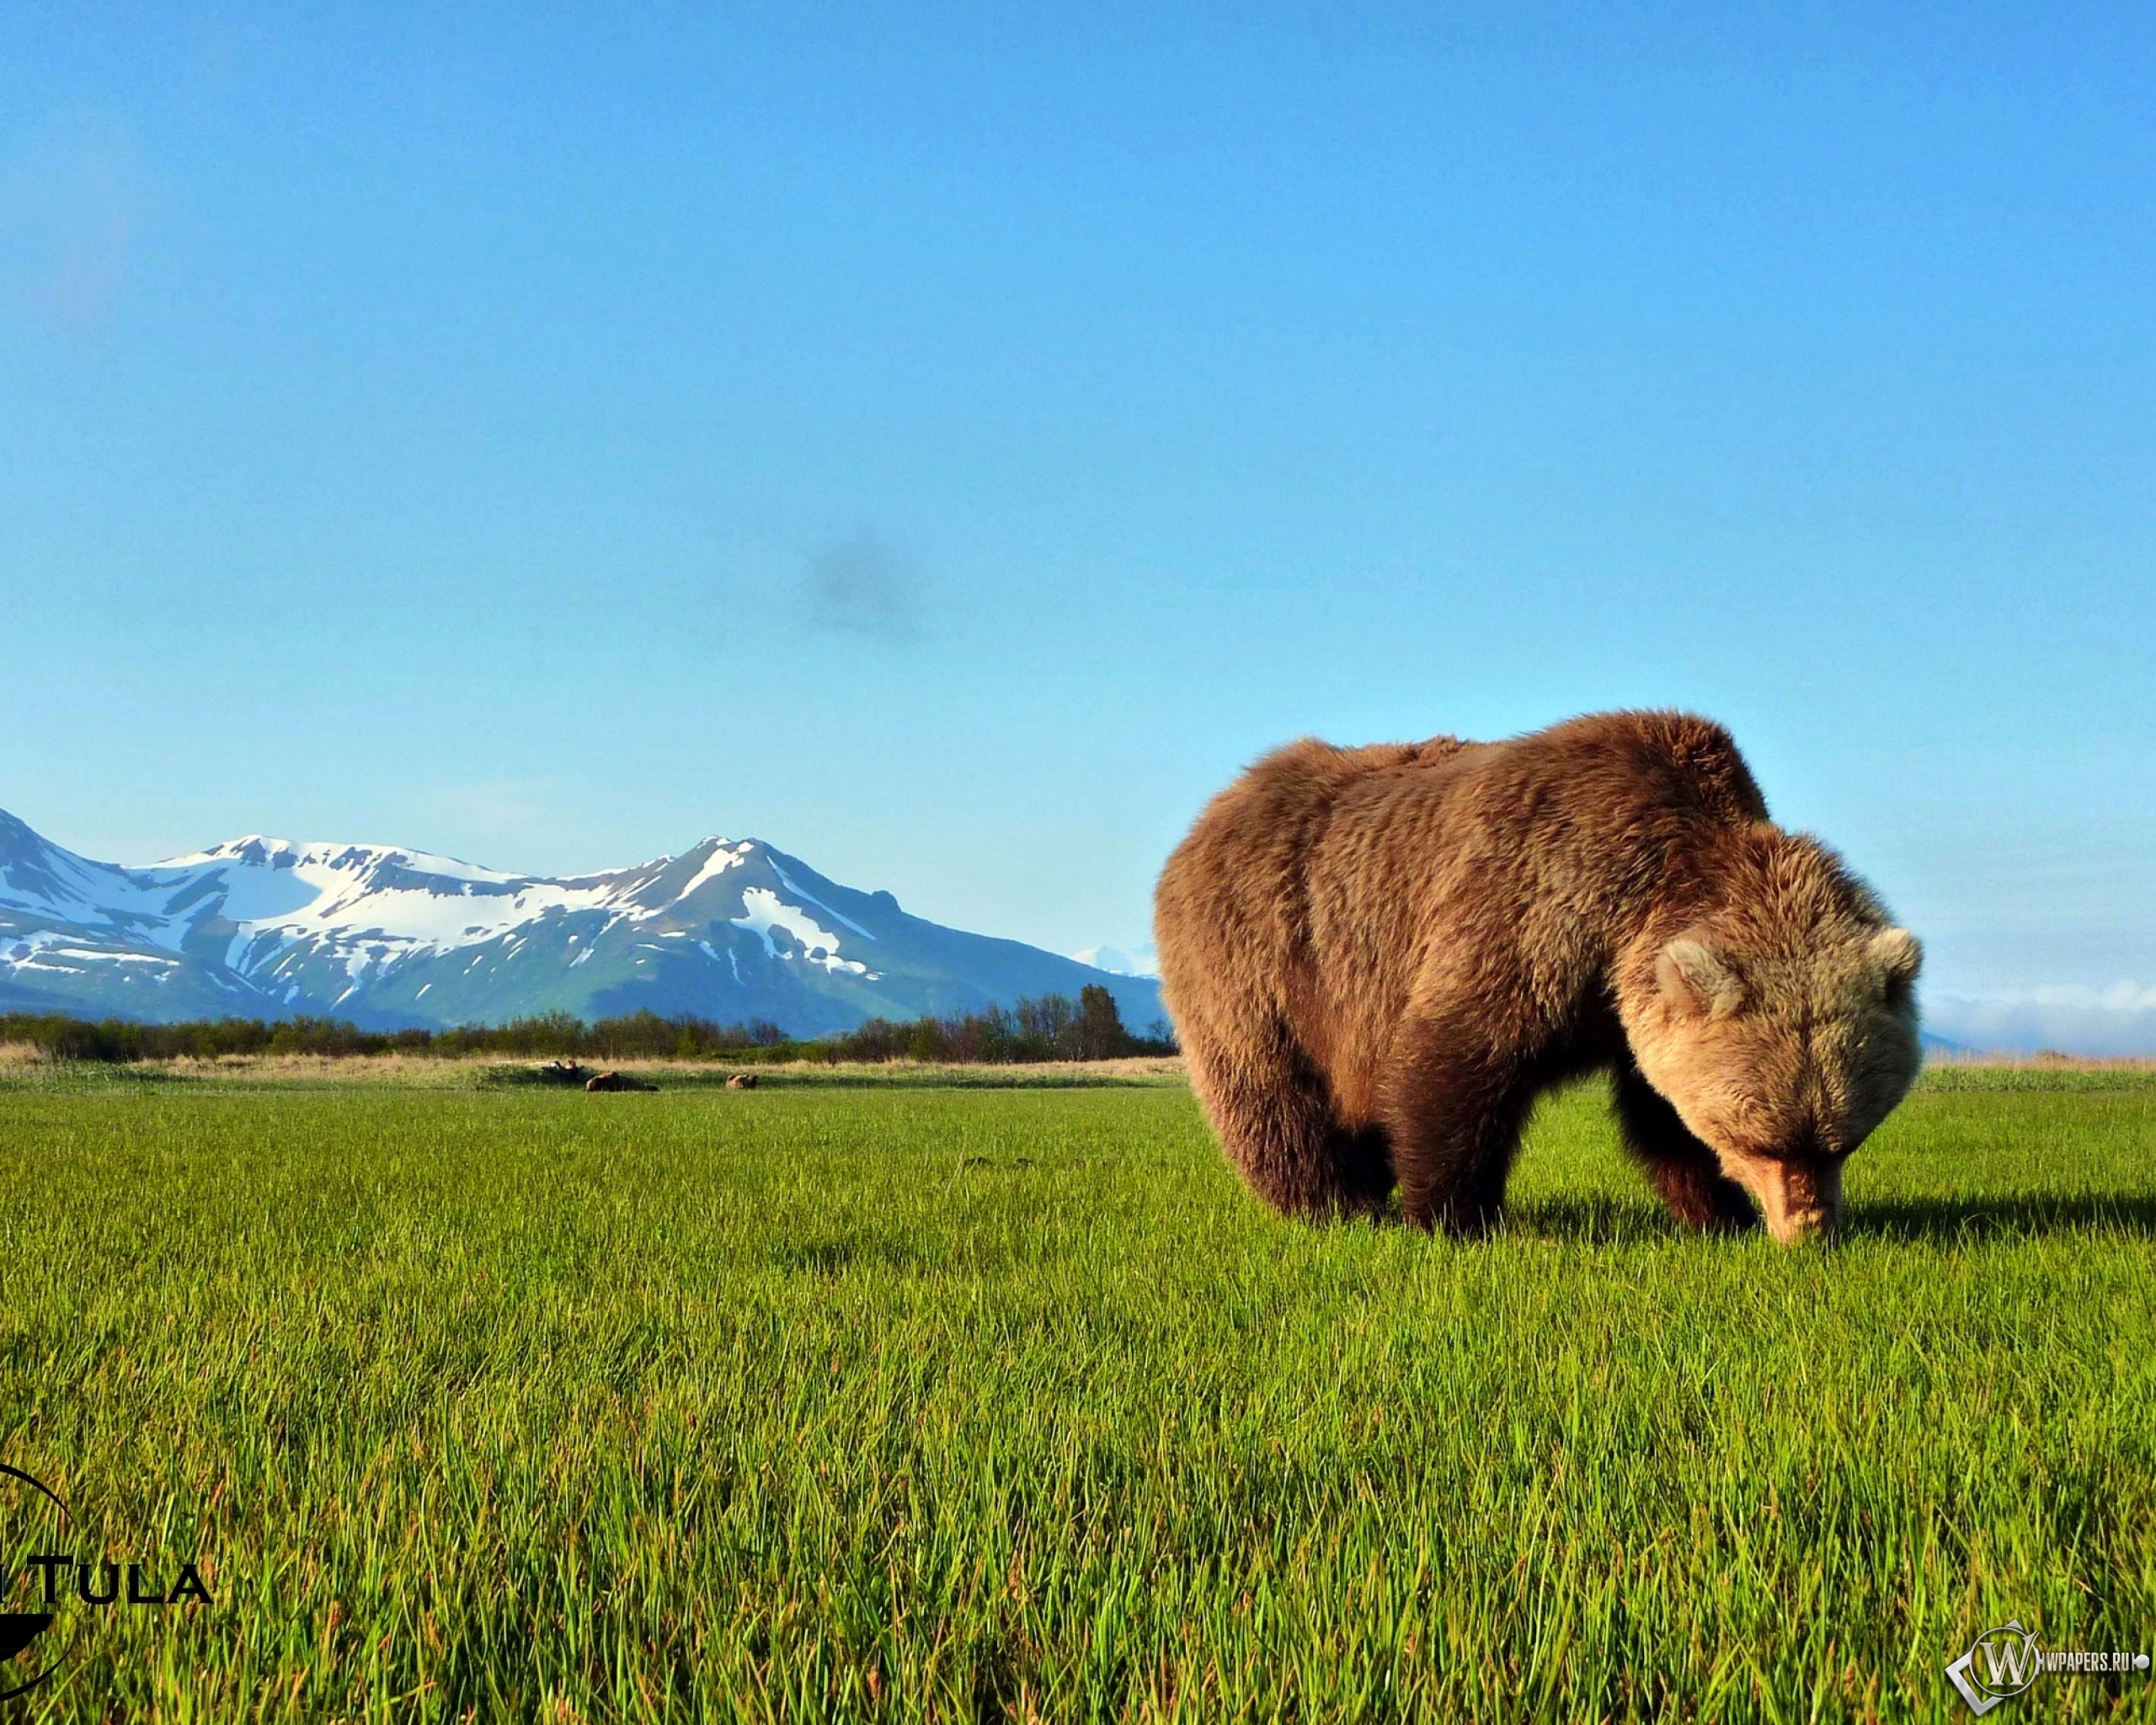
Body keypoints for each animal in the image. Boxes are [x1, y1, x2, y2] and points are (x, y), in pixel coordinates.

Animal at [1155, 707, 1931, 1250]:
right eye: (1761, 1138)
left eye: (1844, 1138)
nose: (1809, 1230)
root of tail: (1217, 807)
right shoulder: (1534, 906)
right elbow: (1457, 1060)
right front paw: (1453, 1218)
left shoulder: (1629, 1002)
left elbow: (1659, 1113)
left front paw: (1718, 1212)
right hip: (1264, 958)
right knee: (1273, 1095)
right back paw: (1334, 1205)